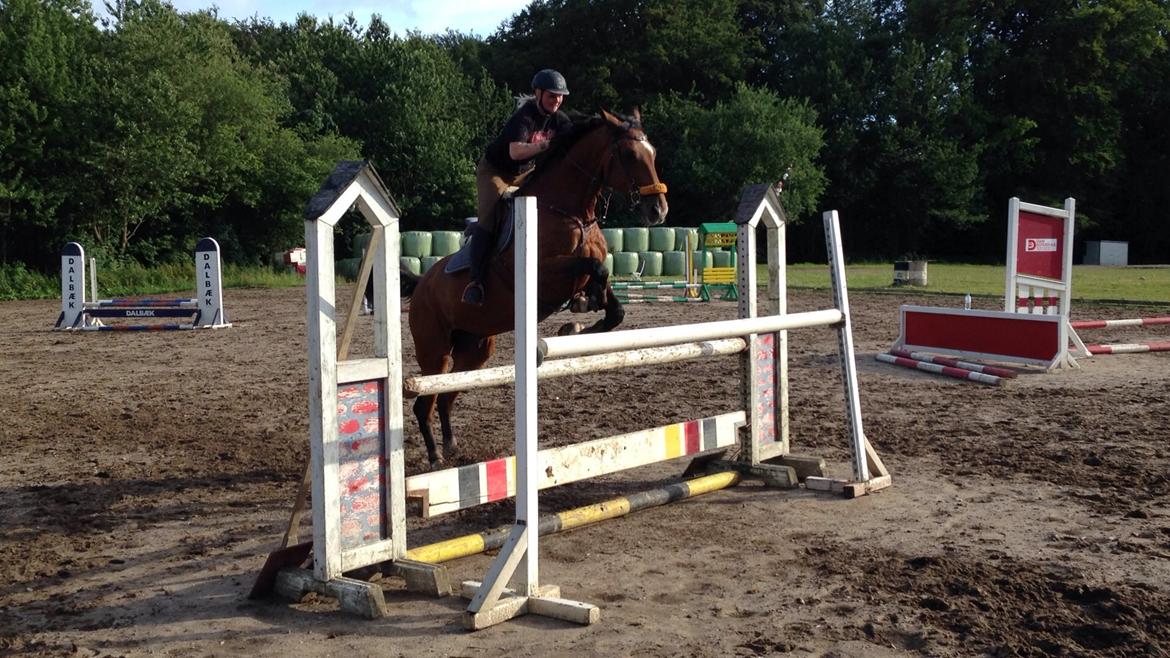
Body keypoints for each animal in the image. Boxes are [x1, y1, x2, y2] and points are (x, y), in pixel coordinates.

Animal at [407, 108, 673, 465]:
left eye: (653, 153)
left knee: (448, 395)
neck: (571, 212)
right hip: (434, 352)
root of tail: (421, 284)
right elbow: (596, 268)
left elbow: (613, 305)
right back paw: (435, 456)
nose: (658, 210)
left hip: (475, 350)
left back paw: (451, 447)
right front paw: (580, 312)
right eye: (630, 155)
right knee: (425, 401)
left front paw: (580, 322)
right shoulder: (544, 275)